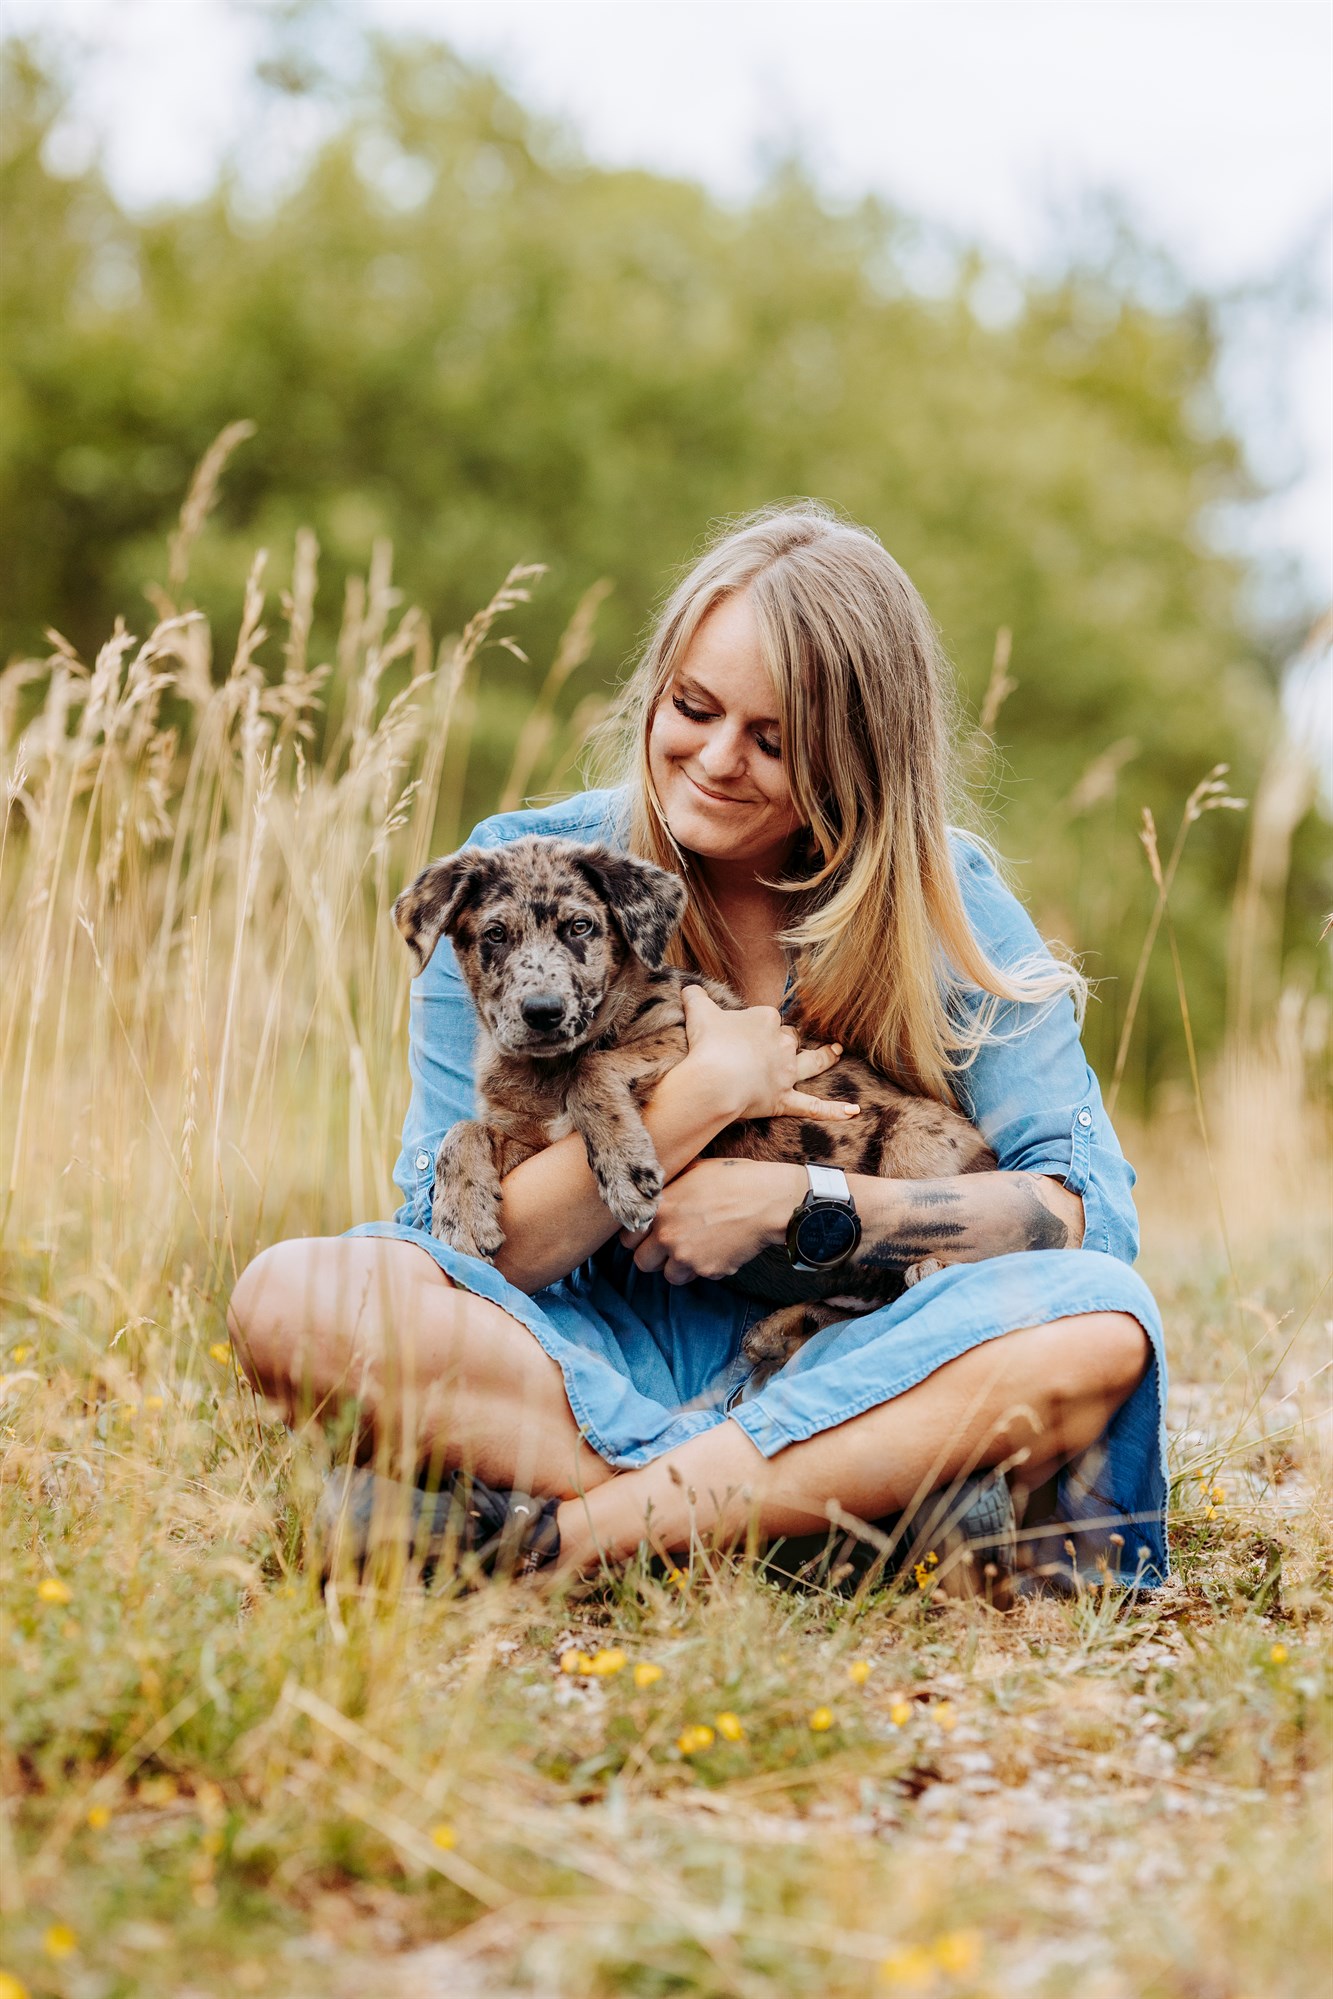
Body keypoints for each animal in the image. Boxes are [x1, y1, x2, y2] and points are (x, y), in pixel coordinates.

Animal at [391, 835, 995, 1367]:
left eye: (580, 927)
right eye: (495, 935)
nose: (542, 1012)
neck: (548, 1066)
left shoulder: (695, 1034)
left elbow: (593, 1069)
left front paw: (625, 1174)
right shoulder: (529, 1140)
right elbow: (461, 1132)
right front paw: (461, 1217)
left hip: (914, 1148)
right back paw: (782, 1329)